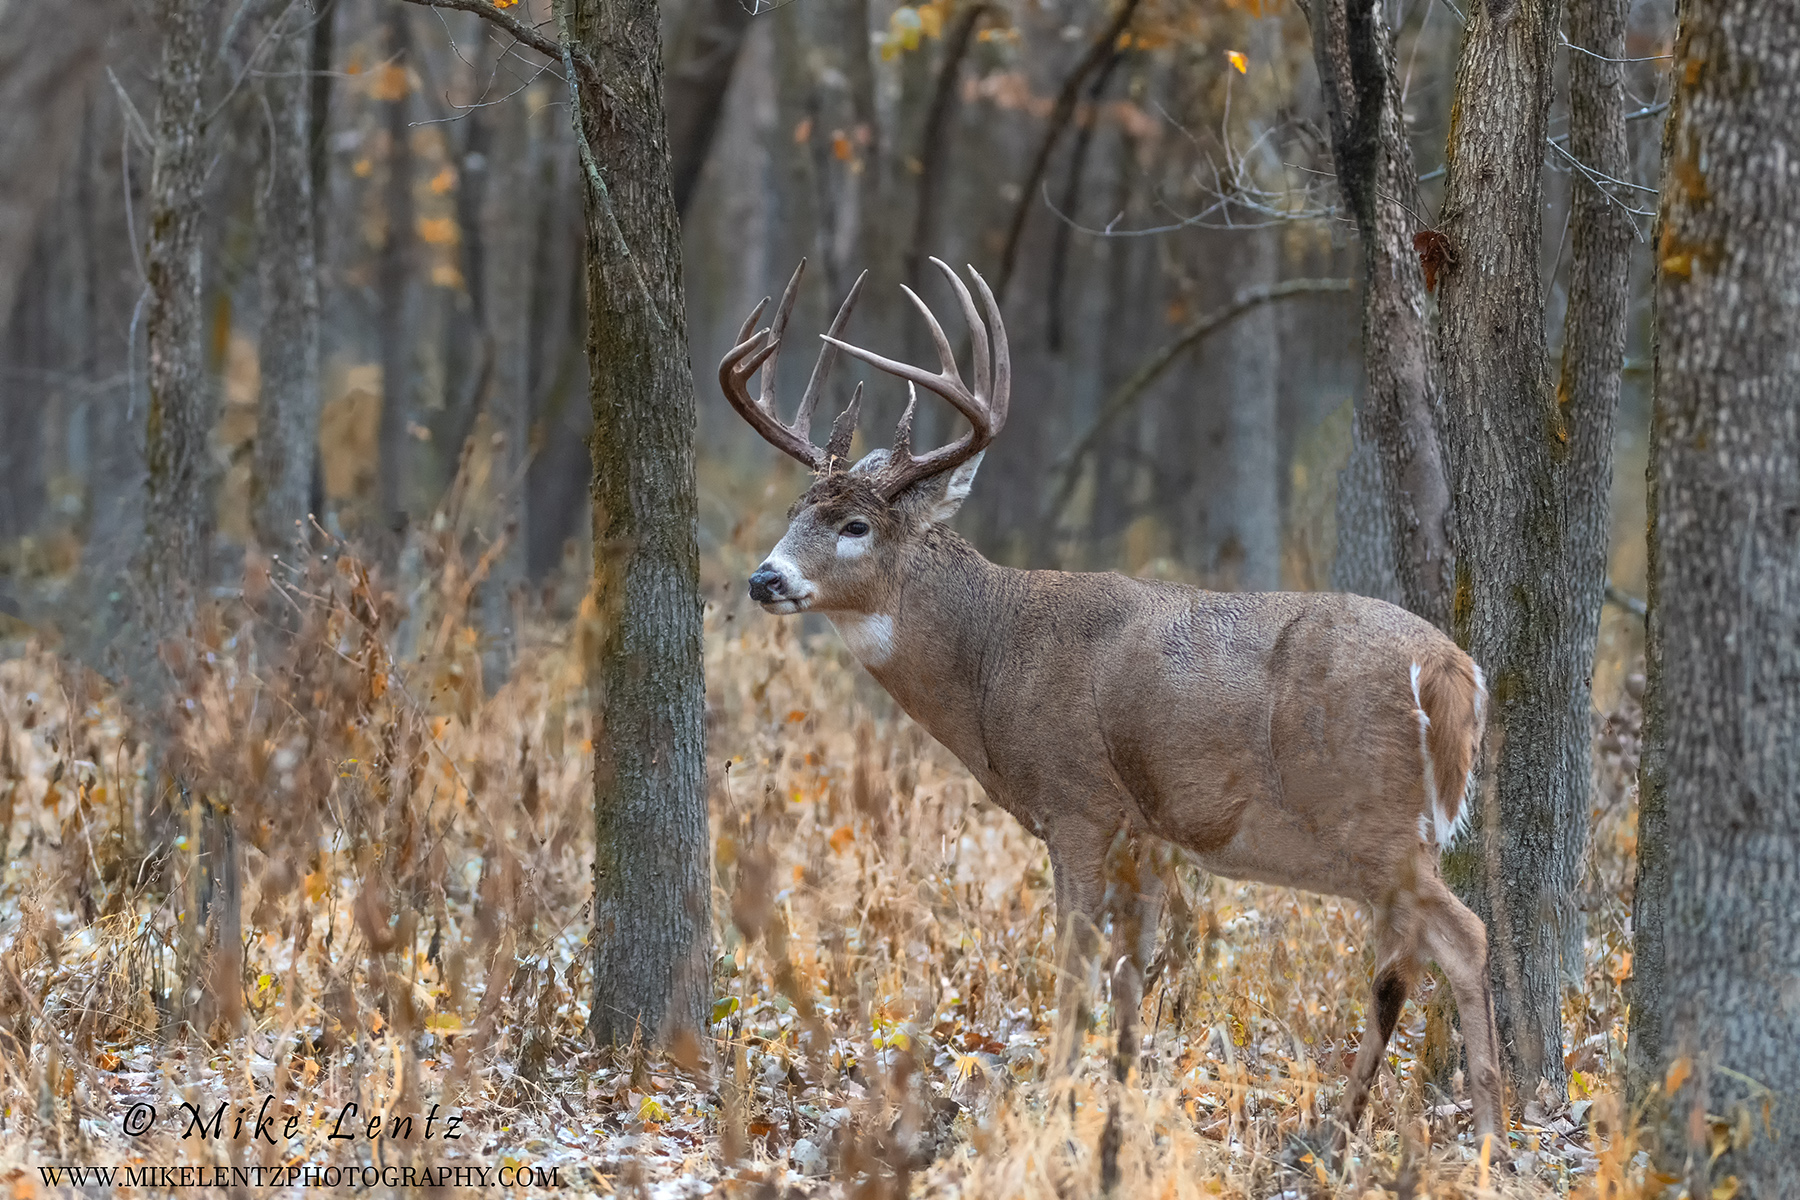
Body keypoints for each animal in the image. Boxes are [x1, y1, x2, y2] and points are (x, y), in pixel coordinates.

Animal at [720, 259, 1504, 1144]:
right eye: (795, 512)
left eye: (855, 525)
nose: (764, 579)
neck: (994, 656)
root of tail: (1452, 670)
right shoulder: (1146, 832)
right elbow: (1134, 972)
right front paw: (1119, 1100)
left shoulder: (1077, 803)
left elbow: (1072, 965)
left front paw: (1054, 1104)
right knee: (1403, 958)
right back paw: (1367, 1129)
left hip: (1370, 817)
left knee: (1462, 936)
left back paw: (1481, 1132)